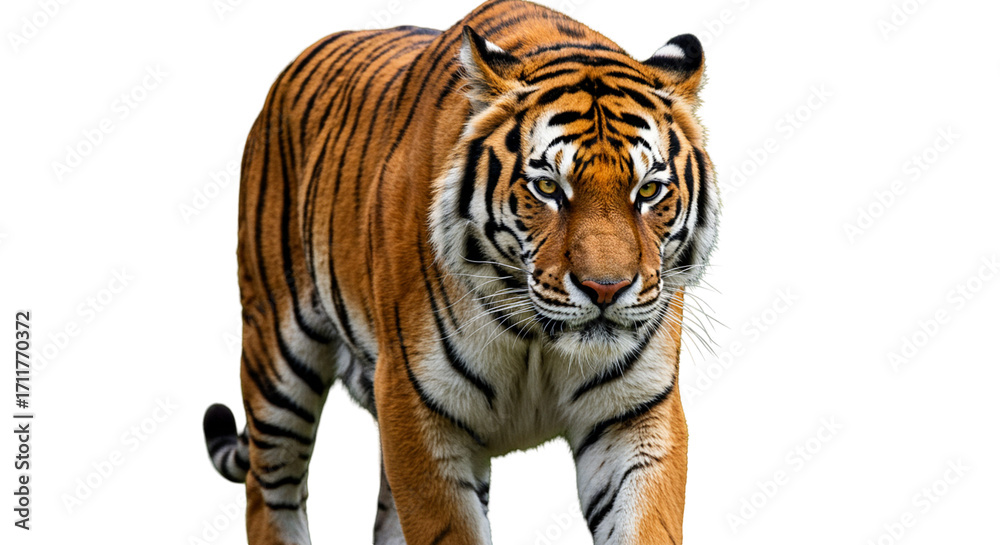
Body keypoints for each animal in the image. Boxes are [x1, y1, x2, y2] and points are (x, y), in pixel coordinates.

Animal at [200, 1, 719, 543]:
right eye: (548, 188)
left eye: (649, 191)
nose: (606, 289)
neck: (538, 340)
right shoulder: (419, 414)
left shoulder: (635, 417)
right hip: (277, 355)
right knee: (269, 491)